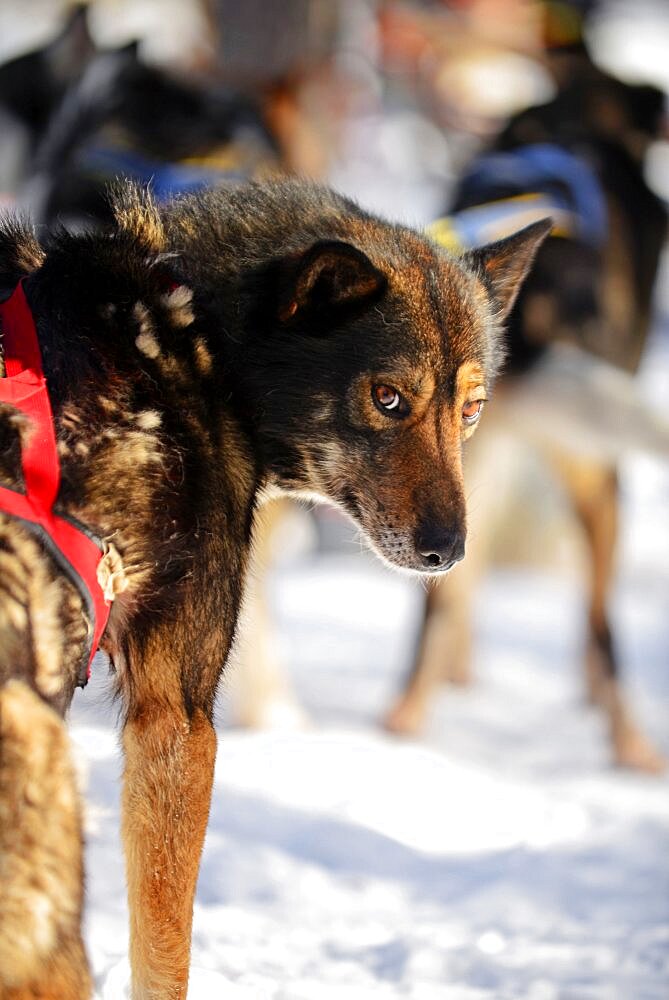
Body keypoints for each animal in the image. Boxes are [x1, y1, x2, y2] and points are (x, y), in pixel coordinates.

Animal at [0, 182, 548, 1000]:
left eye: (470, 410)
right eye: (387, 398)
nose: (446, 552)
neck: (204, 334)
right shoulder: (177, 721)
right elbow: (163, 958)